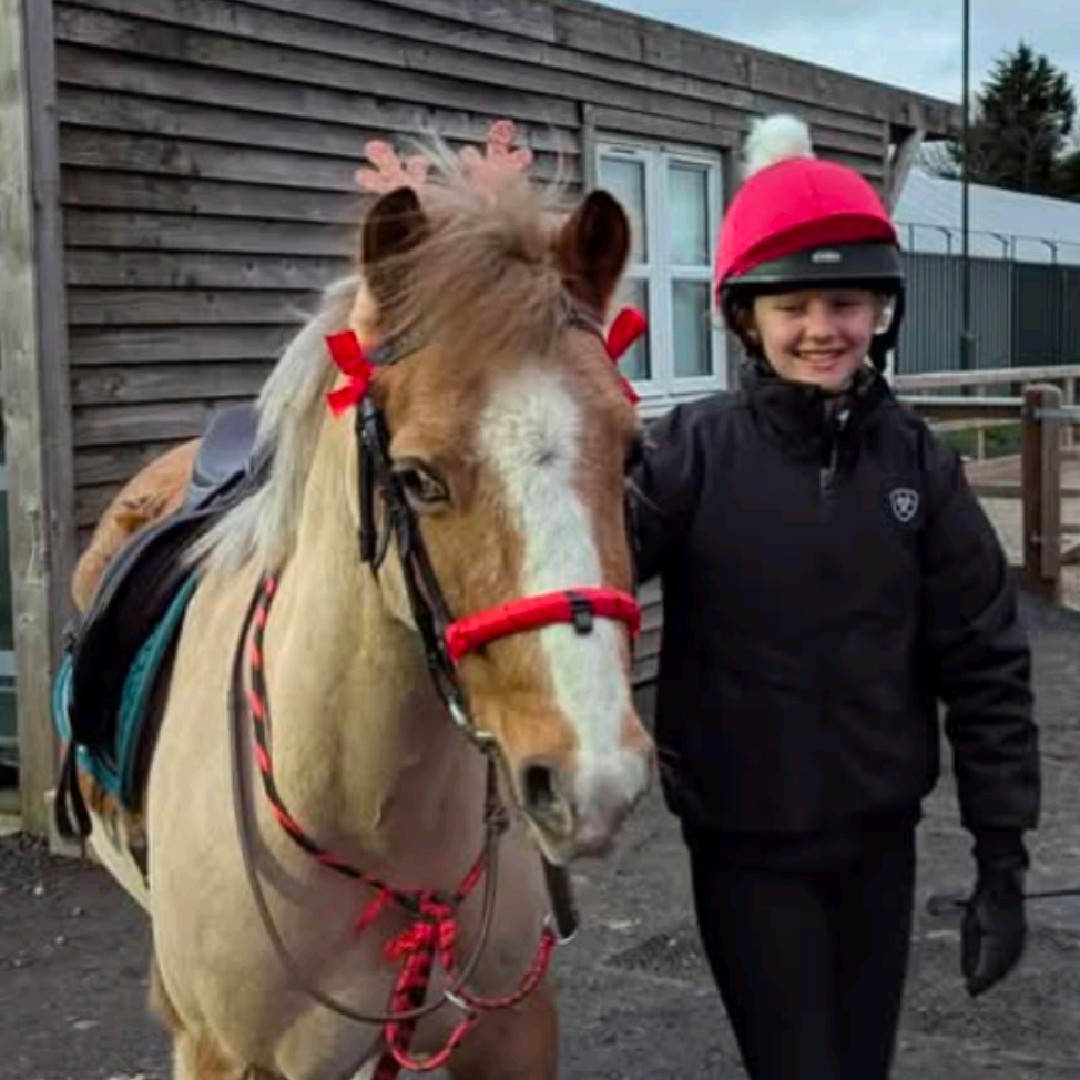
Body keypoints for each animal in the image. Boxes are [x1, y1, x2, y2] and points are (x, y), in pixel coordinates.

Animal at [71, 123, 654, 1079]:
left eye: (633, 451)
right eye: (415, 478)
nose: (595, 782)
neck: (358, 816)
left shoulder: (513, 1032)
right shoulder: (222, 1054)